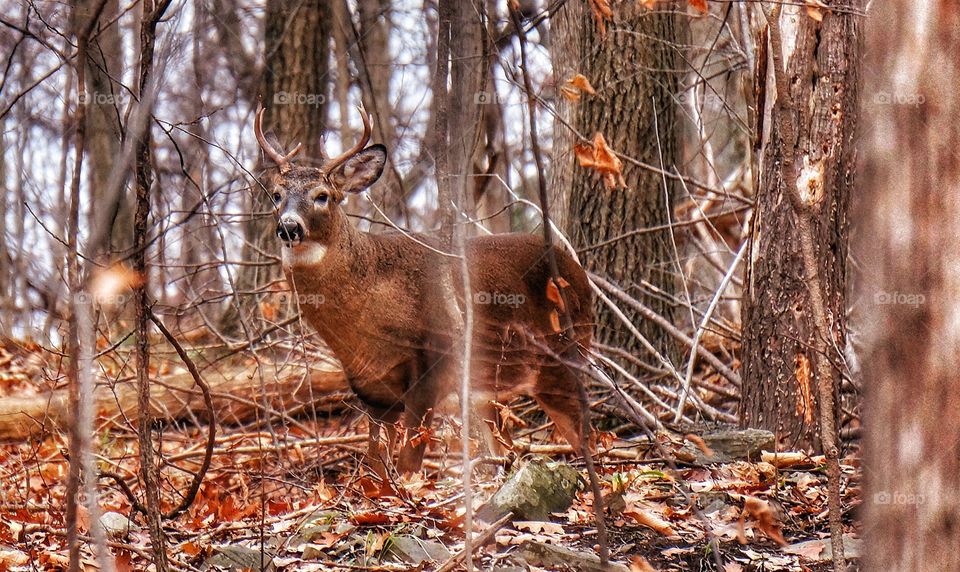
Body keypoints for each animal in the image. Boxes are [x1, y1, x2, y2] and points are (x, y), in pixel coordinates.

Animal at [258, 105, 596, 476]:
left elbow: (408, 462)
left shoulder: (432, 369)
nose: (288, 227)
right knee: (507, 450)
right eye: (276, 194)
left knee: (586, 436)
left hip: (564, 355)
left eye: (322, 195)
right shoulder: (371, 390)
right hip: (492, 389)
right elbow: (375, 464)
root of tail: (579, 270)